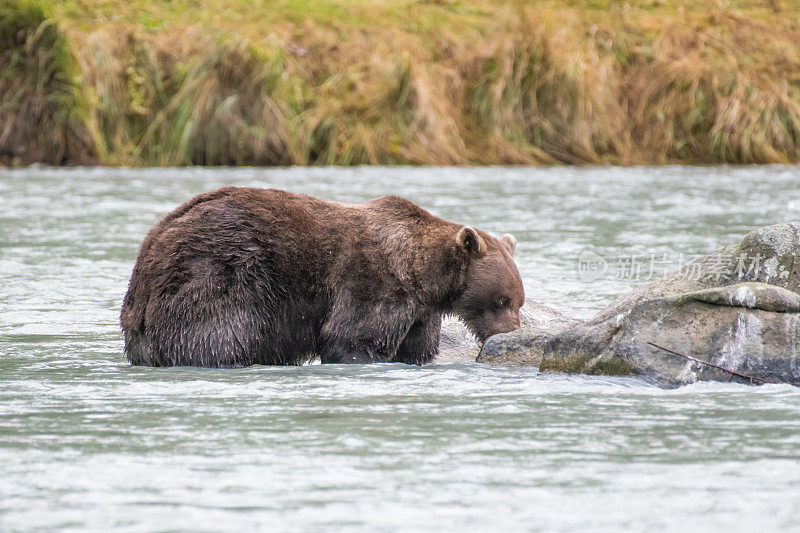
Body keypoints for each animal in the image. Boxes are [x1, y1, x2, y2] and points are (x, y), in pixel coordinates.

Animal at [120, 187, 524, 366]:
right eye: (502, 300)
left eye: (518, 302)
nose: (510, 331)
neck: (425, 277)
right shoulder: (376, 284)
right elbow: (353, 338)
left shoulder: (420, 313)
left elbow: (416, 348)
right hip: (218, 275)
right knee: (219, 336)